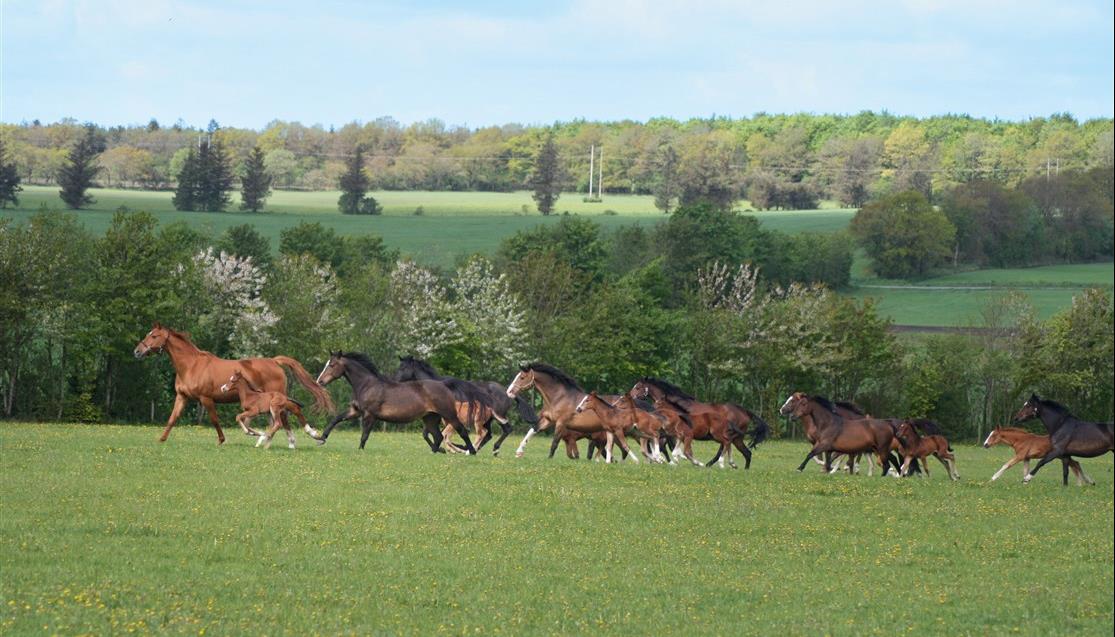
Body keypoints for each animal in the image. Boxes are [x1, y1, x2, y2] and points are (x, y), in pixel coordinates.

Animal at [131, 323, 330, 444]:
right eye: (149, 334)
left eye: (154, 336)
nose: (137, 351)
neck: (191, 365)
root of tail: (274, 361)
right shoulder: (182, 397)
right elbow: (172, 418)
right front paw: (161, 439)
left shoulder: (206, 399)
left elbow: (214, 419)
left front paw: (222, 440)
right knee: (280, 419)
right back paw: (281, 440)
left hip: (277, 398)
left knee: (289, 413)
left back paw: (308, 435)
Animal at [314, 354, 479, 452]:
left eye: (332, 365)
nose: (319, 381)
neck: (367, 385)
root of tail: (444, 385)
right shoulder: (355, 411)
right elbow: (336, 419)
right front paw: (321, 438)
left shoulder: (369, 415)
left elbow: (364, 435)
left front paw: (360, 451)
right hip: (430, 417)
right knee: (437, 436)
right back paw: (436, 452)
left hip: (448, 415)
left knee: (462, 431)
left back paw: (471, 452)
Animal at [392, 356, 535, 455]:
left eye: (403, 368)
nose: (394, 381)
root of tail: (508, 392)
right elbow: (426, 434)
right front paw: (441, 449)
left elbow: (434, 434)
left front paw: (443, 449)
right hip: (487, 419)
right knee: (489, 434)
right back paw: (471, 449)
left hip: (495, 416)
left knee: (504, 430)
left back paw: (489, 449)